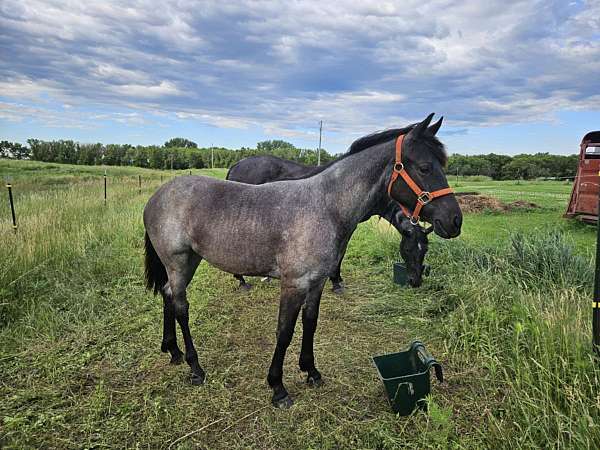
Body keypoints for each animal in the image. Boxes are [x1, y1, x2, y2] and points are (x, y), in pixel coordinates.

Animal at [227, 151, 434, 290]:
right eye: (408, 249)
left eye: (425, 250)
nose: (416, 281)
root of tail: (237, 164)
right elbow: (340, 254)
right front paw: (336, 281)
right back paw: (242, 281)